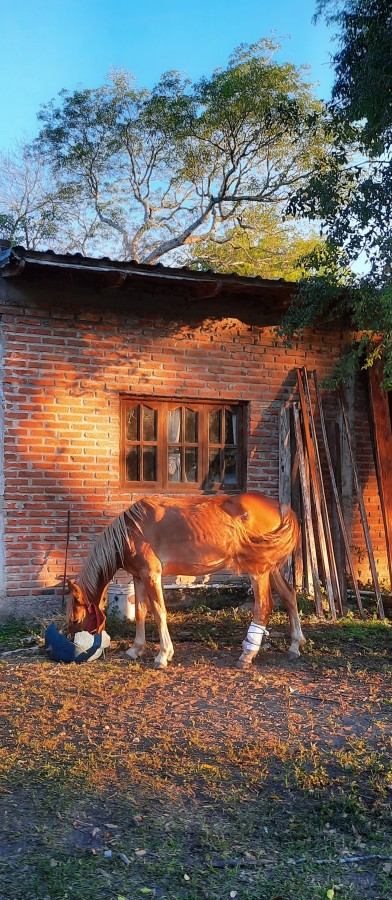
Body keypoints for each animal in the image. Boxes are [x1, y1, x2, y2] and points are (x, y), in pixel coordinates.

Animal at [68, 492, 306, 668]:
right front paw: (136, 649)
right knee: (289, 595)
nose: (71, 641)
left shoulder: (151, 574)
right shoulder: (138, 576)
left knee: (264, 606)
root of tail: (281, 507)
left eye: (75, 618)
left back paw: (247, 655)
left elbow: (159, 612)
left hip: (259, 571)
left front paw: (163, 655)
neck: (131, 530)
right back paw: (295, 646)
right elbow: (141, 612)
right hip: (271, 568)